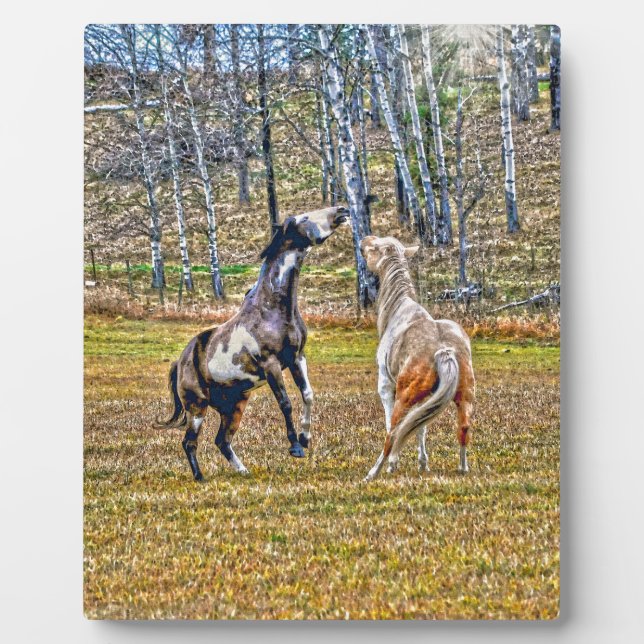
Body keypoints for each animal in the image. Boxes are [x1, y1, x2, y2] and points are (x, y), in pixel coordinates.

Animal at [157, 206, 349, 479]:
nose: (341, 210)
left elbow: (308, 395)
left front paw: (305, 438)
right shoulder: (271, 365)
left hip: (234, 407)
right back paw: (200, 478)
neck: (273, 308)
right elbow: (285, 403)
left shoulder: (297, 358)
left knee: (222, 441)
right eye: (304, 218)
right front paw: (295, 447)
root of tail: (179, 362)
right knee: (189, 442)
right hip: (197, 407)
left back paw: (243, 471)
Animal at [360, 235, 476, 481]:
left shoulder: (386, 386)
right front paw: (423, 463)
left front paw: (394, 464)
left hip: (404, 396)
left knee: (393, 433)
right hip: (465, 395)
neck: (397, 308)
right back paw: (462, 468)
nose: (364, 240)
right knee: (463, 428)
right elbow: (420, 426)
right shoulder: (429, 396)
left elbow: (395, 427)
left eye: (375, 247)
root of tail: (444, 351)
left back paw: (374, 472)